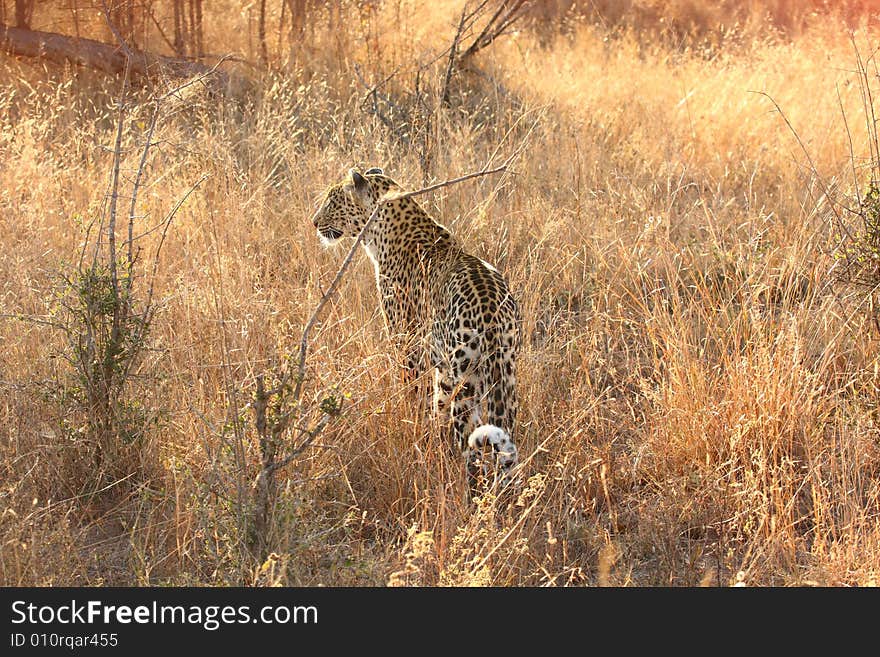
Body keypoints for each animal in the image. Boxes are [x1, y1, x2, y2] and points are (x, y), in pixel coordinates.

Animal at [312, 167, 524, 494]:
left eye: (332, 201)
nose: (314, 222)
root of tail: (491, 311)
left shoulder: (407, 347)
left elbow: (412, 396)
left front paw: (412, 428)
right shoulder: (441, 367)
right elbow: (436, 404)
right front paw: (431, 436)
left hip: (467, 382)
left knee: (470, 446)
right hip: (506, 374)